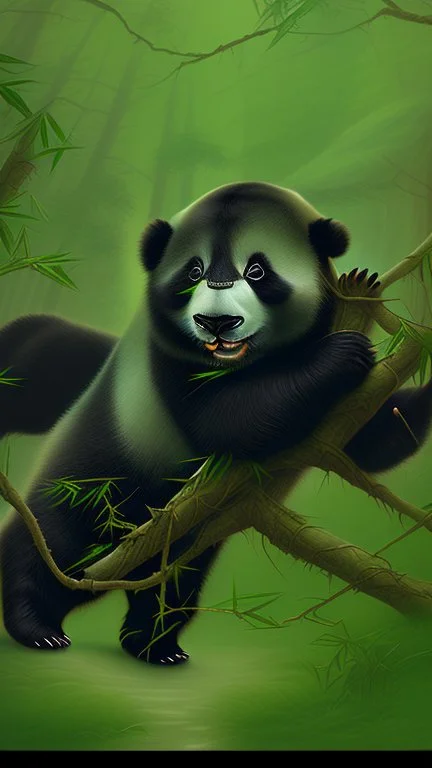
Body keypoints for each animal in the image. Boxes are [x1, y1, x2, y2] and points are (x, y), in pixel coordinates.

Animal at [1, 181, 431, 665]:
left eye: (257, 271)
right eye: (194, 271)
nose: (216, 323)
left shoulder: (345, 410)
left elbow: (374, 438)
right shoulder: (168, 366)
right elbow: (230, 420)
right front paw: (339, 354)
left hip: (181, 543)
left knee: (170, 590)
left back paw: (154, 645)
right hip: (93, 482)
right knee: (52, 544)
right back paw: (37, 624)